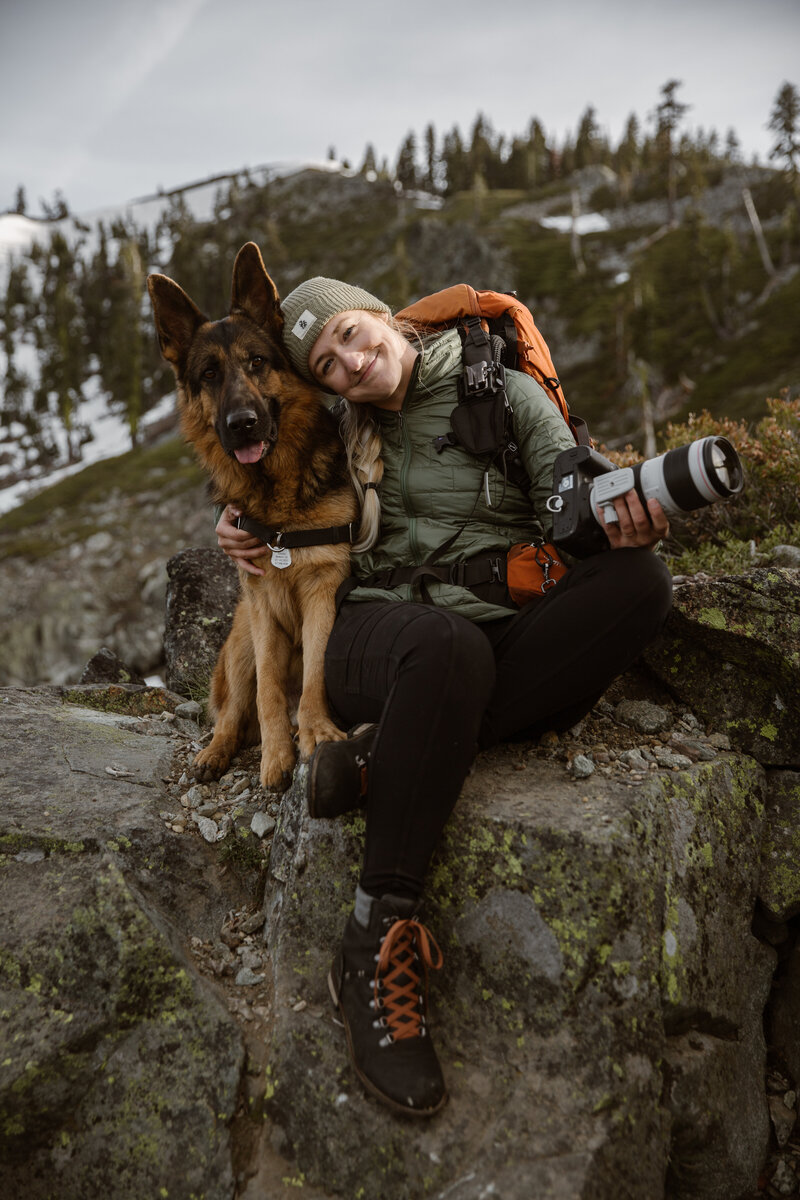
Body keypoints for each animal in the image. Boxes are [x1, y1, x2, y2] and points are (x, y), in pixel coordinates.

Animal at [146, 241, 352, 787]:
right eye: (209, 375)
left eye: (257, 362)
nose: (242, 424)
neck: (276, 500)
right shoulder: (260, 607)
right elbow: (267, 691)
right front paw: (277, 757)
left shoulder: (324, 589)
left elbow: (316, 672)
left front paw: (317, 732)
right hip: (238, 640)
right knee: (234, 714)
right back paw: (215, 753)